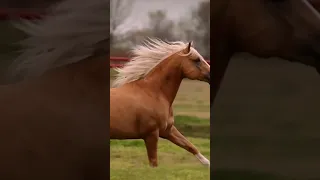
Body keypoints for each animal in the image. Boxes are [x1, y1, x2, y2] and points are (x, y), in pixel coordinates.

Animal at [111, 38, 211, 167]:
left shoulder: (168, 130)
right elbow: (154, 162)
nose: (211, 75)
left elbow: (190, 146)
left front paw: (207, 163)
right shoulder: (151, 134)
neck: (154, 92)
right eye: (196, 60)